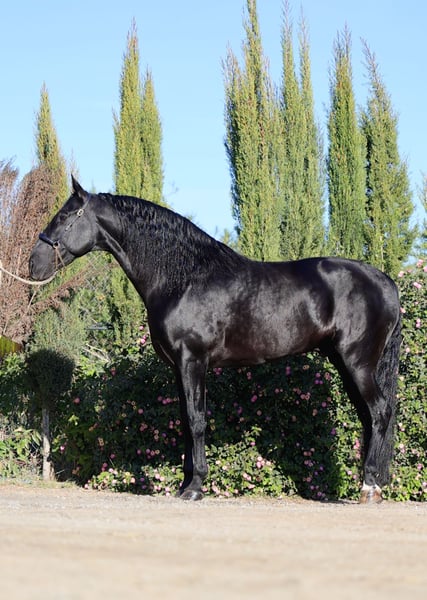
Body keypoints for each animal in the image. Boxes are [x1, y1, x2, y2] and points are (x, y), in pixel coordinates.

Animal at [29, 177, 401, 503]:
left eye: (65, 217)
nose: (34, 264)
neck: (184, 278)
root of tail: (385, 282)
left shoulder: (193, 360)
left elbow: (196, 420)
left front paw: (195, 488)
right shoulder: (178, 367)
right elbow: (184, 421)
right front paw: (184, 484)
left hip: (357, 362)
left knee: (380, 412)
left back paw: (370, 487)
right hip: (345, 363)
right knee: (369, 417)